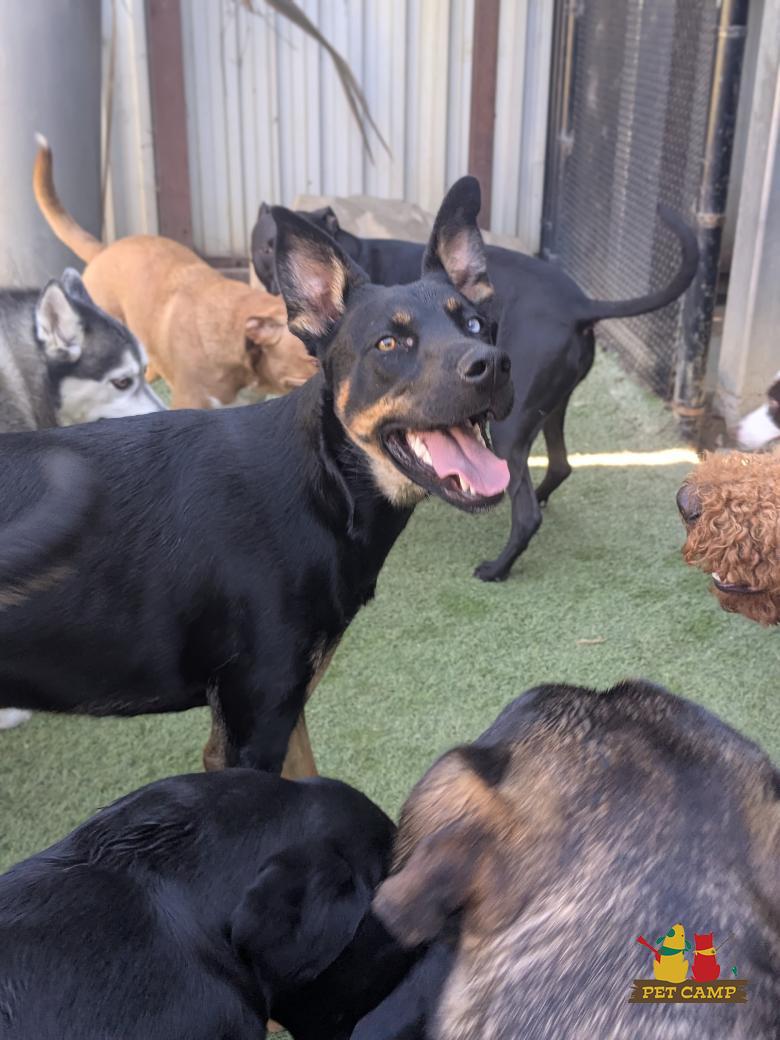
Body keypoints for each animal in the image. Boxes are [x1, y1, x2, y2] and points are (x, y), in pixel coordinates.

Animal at [252, 201, 698, 581]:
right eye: (263, 248)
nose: (271, 284)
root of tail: (580, 305)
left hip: (509, 427)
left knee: (525, 512)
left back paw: (498, 568)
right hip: (549, 407)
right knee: (558, 465)